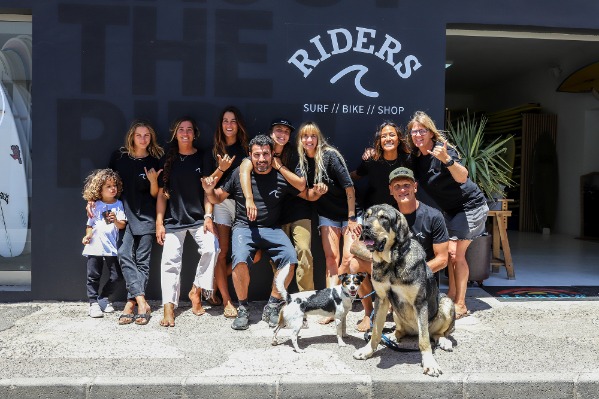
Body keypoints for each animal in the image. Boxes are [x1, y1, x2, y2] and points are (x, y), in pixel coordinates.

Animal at [352, 205, 454, 376]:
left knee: (436, 334)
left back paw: (444, 341)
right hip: (395, 313)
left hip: (447, 303)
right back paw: (393, 336)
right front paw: (368, 351)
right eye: (366, 216)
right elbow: (376, 331)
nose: (365, 227)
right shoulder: (381, 300)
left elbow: (424, 340)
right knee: (401, 330)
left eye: (384, 218)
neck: (392, 262)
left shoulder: (420, 303)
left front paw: (429, 363)